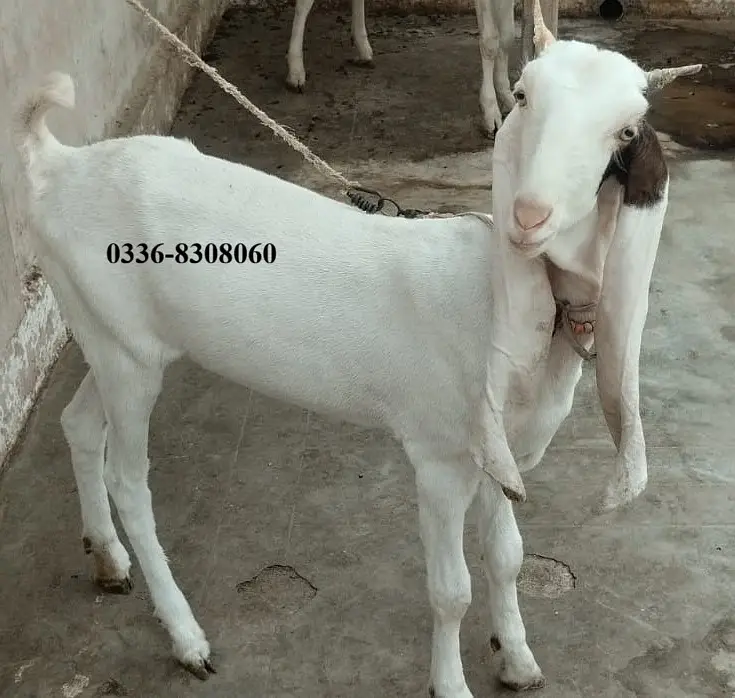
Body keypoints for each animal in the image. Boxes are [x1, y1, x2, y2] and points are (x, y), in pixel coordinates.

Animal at [285, 0, 559, 136]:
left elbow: (507, 35)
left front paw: (507, 97)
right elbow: (491, 39)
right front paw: (490, 112)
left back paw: (363, 47)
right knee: (302, 5)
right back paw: (295, 71)